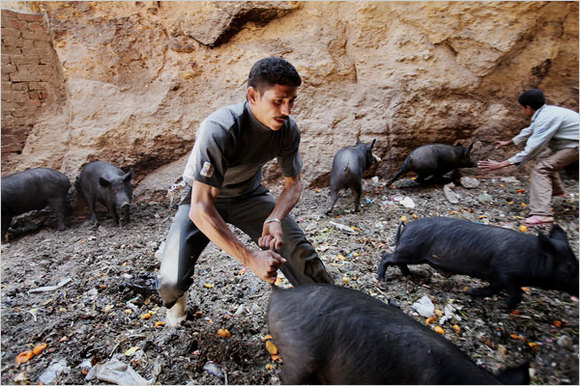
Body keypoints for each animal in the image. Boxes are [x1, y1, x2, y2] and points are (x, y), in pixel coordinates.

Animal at [378, 217, 576, 310]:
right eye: (568, 267)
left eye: (576, 262)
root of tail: (408, 226)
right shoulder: (506, 272)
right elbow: (515, 292)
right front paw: (504, 306)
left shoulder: (496, 278)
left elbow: (493, 289)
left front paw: (470, 292)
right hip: (411, 251)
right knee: (386, 256)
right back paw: (382, 279)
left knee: (396, 260)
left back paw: (407, 274)